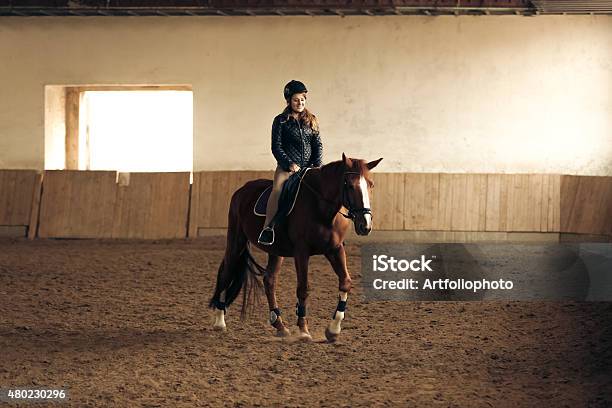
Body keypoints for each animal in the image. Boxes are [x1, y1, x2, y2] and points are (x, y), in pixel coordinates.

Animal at [210, 153, 382, 342]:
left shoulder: (335, 249)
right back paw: (219, 322)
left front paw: (333, 330)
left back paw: (279, 325)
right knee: (227, 272)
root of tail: (243, 189)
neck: (321, 208)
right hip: (236, 240)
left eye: (371, 184)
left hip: (275, 250)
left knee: (269, 280)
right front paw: (303, 331)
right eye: (350, 185)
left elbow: (345, 282)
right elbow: (303, 288)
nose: (365, 225)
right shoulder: (302, 252)